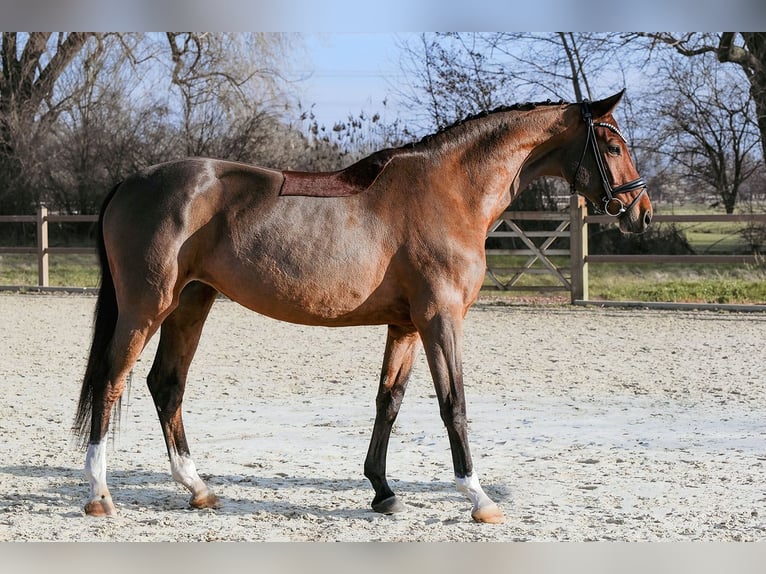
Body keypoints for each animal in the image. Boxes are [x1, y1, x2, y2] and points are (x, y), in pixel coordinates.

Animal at [73, 90, 651, 524]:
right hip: (146, 306)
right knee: (112, 380)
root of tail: (131, 181)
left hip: (191, 303)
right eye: (612, 144)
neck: (451, 190)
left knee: (166, 385)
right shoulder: (441, 320)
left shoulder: (406, 326)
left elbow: (387, 402)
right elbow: (454, 404)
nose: (641, 212)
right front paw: (478, 496)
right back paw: (99, 493)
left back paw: (198, 488)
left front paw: (383, 490)